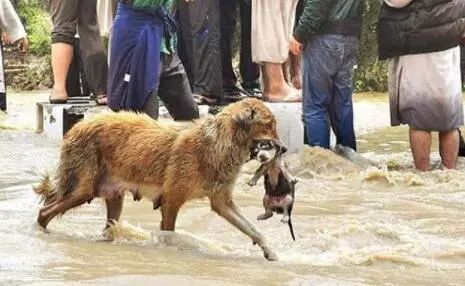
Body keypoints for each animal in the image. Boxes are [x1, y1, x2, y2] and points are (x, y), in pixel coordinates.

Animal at [34, 98, 280, 262]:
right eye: (269, 125)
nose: (283, 147)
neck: (221, 143)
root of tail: (76, 126)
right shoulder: (171, 200)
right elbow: (169, 233)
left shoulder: (223, 203)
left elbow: (253, 229)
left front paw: (270, 251)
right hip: (83, 190)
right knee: (44, 212)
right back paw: (42, 235)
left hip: (113, 197)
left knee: (108, 226)